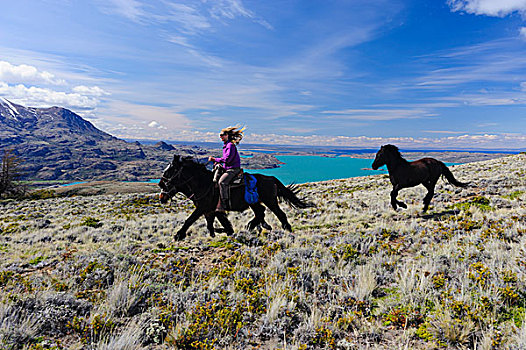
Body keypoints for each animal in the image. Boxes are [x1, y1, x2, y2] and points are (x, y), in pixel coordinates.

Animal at [158, 155, 314, 241]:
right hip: (254, 203)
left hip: (270, 201)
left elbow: (189, 220)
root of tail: (271, 178)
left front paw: (178, 235)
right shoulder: (211, 210)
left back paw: (287, 229)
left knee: (279, 214)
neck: (203, 183)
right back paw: (252, 226)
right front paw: (222, 232)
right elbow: (213, 224)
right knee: (260, 212)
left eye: (169, 171)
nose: (161, 196)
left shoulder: (203, 208)